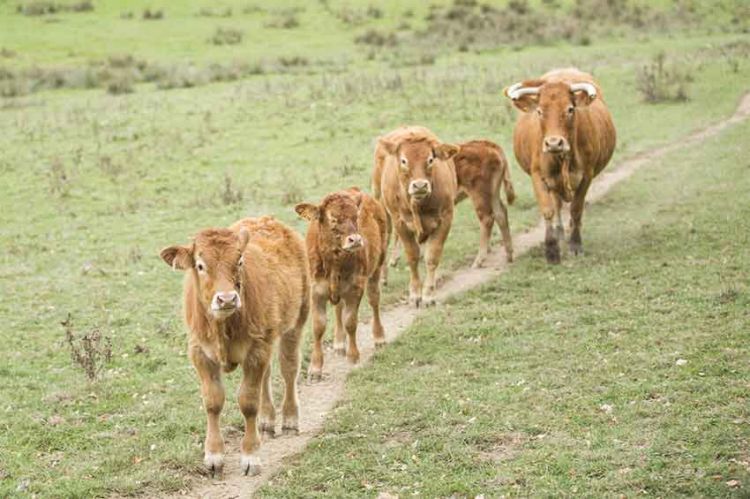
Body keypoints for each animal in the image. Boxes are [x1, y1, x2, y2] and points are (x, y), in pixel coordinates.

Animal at [160, 217, 310, 478]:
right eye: (200, 265)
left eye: (239, 261)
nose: (227, 299)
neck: (223, 326)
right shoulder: (199, 352)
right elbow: (213, 401)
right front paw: (213, 456)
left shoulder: (256, 349)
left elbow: (248, 402)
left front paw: (250, 456)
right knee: (267, 376)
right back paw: (267, 421)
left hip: (297, 320)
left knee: (289, 369)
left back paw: (290, 419)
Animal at [294, 188, 388, 378]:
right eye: (333, 219)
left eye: (356, 217)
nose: (356, 240)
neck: (334, 263)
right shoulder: (316, 291)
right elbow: (319, 326)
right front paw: (315, 367)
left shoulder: (356, 287)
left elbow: (350, 321)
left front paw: (353, 356)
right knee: (338, 308)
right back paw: (338, 342)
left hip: (377, 266)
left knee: (374, 300)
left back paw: (379, 337)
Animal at [506, 68, 616, 264]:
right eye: (540, 111)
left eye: (570, 109)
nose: (554, 143)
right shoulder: (538, 176)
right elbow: (548, 210)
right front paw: (551, 250)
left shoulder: (586, 176)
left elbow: (576, 209)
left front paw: (576, 244)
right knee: (556, 204)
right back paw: (559, 232)